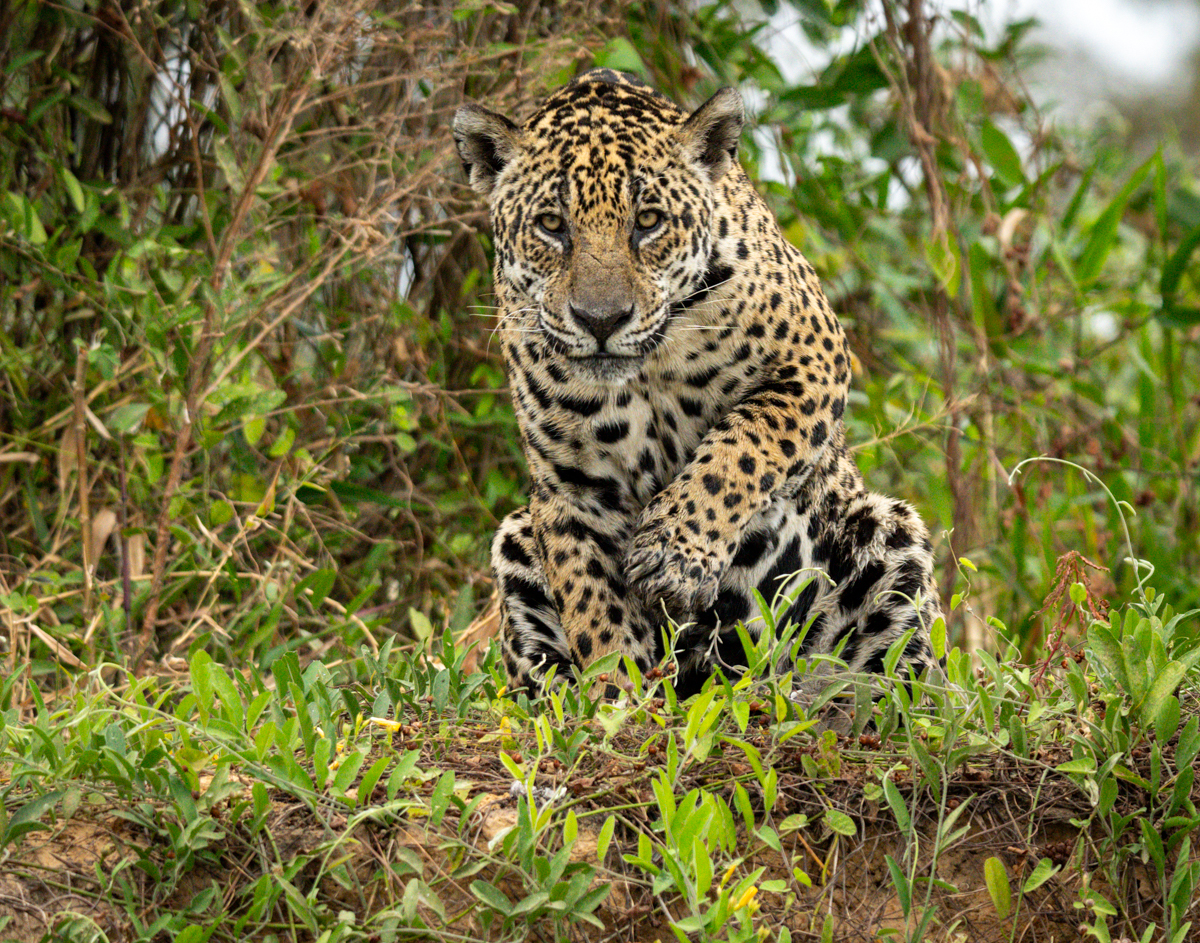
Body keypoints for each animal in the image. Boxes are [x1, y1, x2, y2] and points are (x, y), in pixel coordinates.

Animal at [453, 69, 944, 701]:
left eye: (648, 221)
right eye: (551, 225)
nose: (600, 319)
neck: (647, 369)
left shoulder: (815, 359)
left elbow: (743, 447)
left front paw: (672, 556)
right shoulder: (571, 490)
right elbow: (594, 605)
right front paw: (617, 700)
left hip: (888, 533)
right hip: (515, 537)